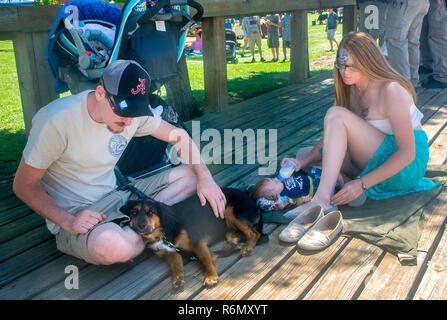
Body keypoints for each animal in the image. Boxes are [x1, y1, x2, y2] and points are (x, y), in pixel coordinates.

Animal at [119, 186, 266, 288]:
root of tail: (252, 200)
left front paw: (210, 276)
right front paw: (178, 278)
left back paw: (247, 247)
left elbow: (205, 259)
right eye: (133, 212)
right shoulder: (171, 252)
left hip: (229, 210)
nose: (141, 226)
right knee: (235, 235)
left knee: (254, 233)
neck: (161, 232)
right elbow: (176, 265)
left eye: (151, 212)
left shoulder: (197, 242)